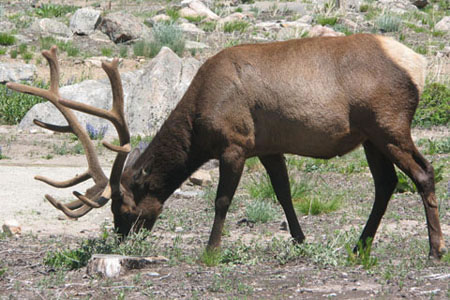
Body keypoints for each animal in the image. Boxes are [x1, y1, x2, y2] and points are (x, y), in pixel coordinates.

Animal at [7, 32, 446, 258]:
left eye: (123, 206)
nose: (121, 237)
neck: (200, 120)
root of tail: (419, 63)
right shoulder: (267, 145)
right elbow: (284, 193)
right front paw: (300, 240)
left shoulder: (235, 142)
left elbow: (221, 200)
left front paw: (212, 249)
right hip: (370, 137)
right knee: (386, 184)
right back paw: (359, 246)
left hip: (390, 125)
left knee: (424, 173)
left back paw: (435, 249)